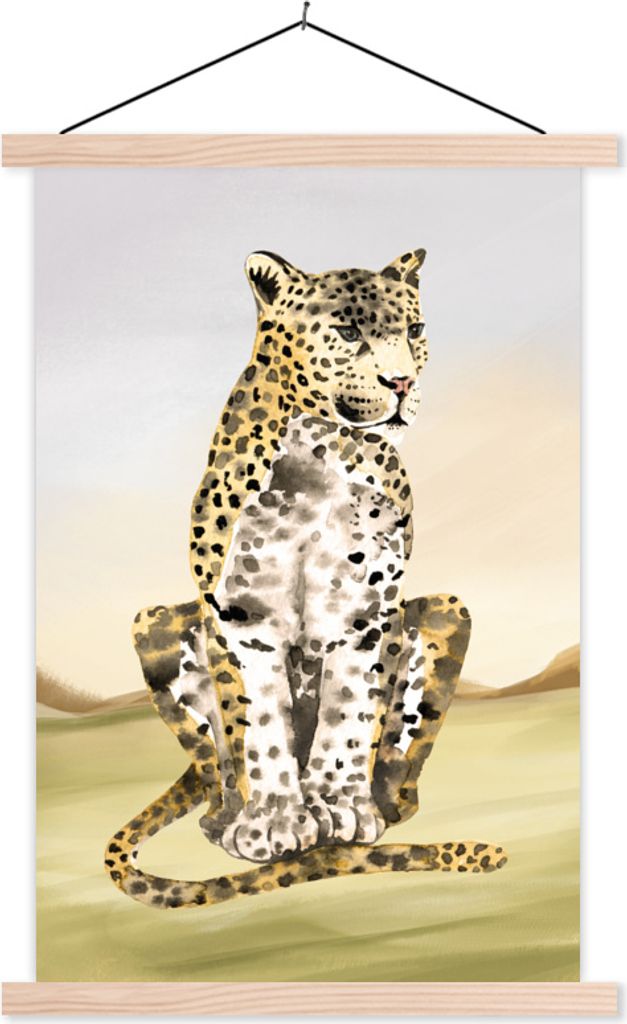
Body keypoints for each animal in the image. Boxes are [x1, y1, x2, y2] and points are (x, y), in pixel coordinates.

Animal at [105, 248, 506, 909]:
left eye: (415, 331)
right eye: (346, 332)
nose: (402, 384)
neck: (324, 453)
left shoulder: (368, 611)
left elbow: (350, 713)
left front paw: (339, 809)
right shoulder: (239, 616)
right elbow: (259, 725)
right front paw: (273, 823)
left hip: (448, 610)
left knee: (401, 786)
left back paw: (371, 815)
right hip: (153, 624)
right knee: (214, 784)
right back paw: (233, 822)